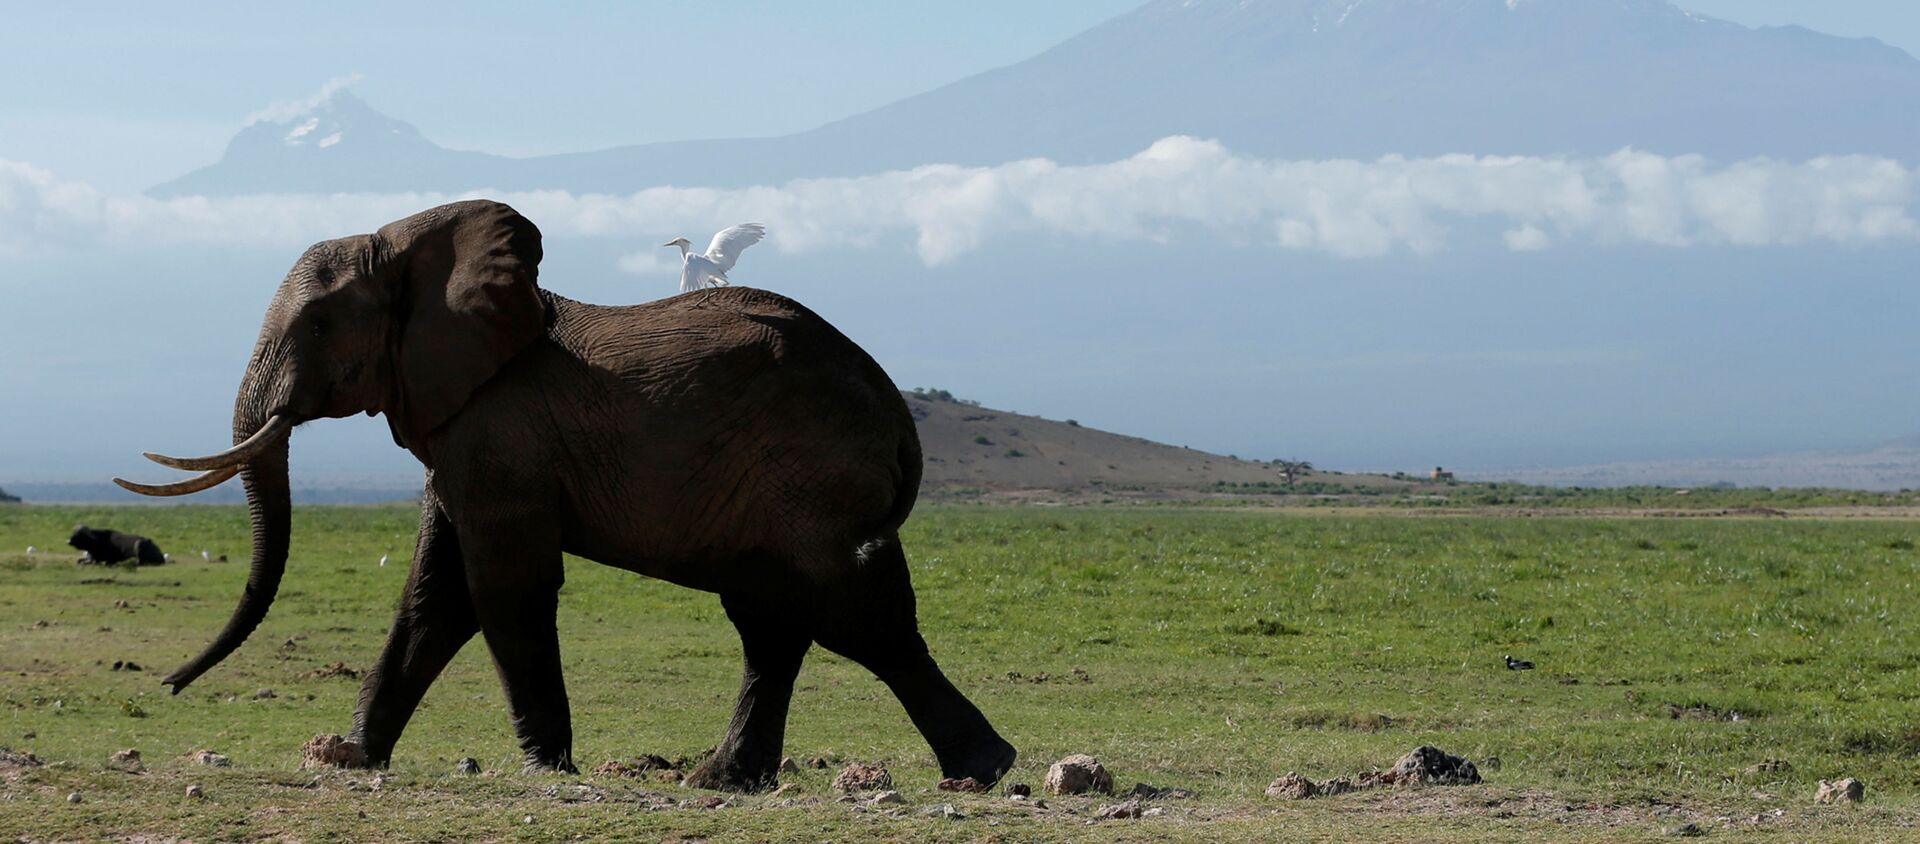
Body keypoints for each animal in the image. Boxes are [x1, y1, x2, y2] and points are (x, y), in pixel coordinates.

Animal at [114, 199, 1021, 790]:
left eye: (316, 326)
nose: (167, 688)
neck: (412, 248)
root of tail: (895, 409)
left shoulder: (499, 432)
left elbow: (500, 589)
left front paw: (547, 767)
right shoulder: (462, 431)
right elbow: (433, 595)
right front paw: (351, 758)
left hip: (810, 476)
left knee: (853, 612)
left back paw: (984, 769)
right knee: (776, 621)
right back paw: (722, 780)